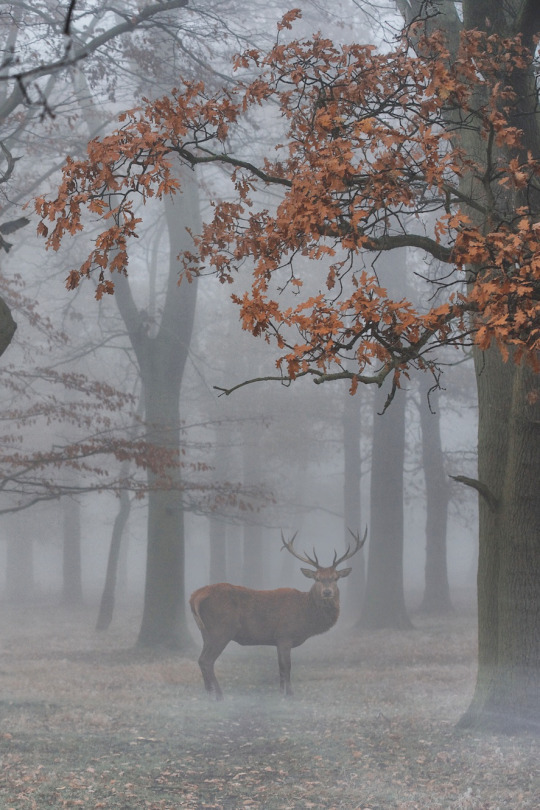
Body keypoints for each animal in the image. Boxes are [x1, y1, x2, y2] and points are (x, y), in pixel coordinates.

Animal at [188, 528, 364, 696]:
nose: (327, 592)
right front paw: (290, 694)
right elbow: (287, 667)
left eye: (336, 578)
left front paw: (281, 692)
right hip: (221, 629)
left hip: (205, 631)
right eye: (317, 578)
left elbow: (280, 668)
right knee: (207, 660)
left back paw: (209, 692)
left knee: (201, 659)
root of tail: (195, 596)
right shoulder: (285, 635)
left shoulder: (277, 640)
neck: (306, 616)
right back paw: (218, 694)